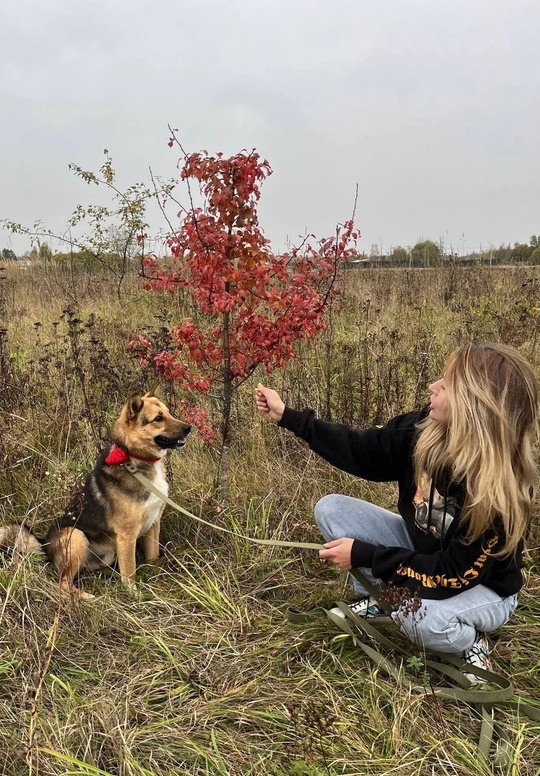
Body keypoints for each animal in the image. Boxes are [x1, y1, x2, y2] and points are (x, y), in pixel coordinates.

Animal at [0, 392, 191, 596]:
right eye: (158, 418)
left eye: (169, 413)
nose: (189, 428)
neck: (135, 460)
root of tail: (44, 546)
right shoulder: (127, 535)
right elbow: (130, 572)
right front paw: (134, 594)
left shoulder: (154, 524)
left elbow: (152, 558)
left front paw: (155, 579)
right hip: (76, 536)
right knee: (63, 583)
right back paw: (87, 596)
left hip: (106, 553)